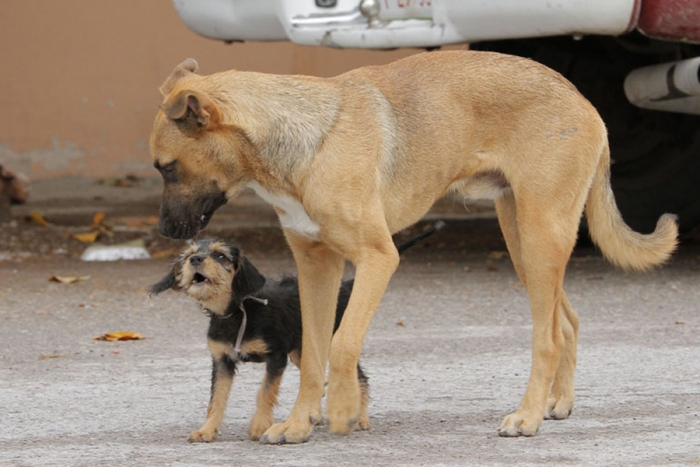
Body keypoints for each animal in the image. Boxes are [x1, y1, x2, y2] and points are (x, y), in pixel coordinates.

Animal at [150, 223, 440, 442]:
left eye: (220, 256)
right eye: (188, 255)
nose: (196, 259)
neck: (238, 310)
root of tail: (344, 286)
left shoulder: (276, 356)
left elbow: (265, 392)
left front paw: (260, 426)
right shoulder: (222, 361)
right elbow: (216, 399)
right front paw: (207, 430)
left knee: (359, 378)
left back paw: (359, 417)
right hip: (303, 350)